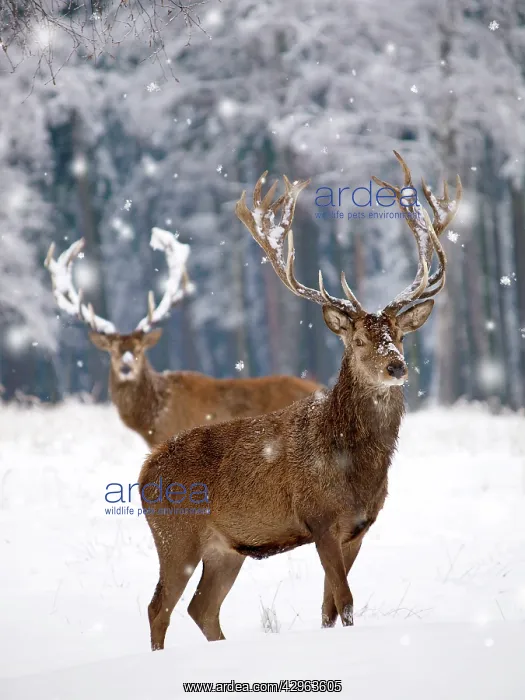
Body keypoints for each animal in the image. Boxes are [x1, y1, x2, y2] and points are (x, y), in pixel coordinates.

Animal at [138, 153, 462, 650]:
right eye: (360, 339)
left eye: (400, 335)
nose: (397, 367)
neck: (354, 467)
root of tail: (143, 471)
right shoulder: (320, 519)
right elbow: (345, 601)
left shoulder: (358, 529)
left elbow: (329, 607)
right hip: (175, 535)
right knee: (159, 607)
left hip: (226, 549)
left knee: (201, 608)